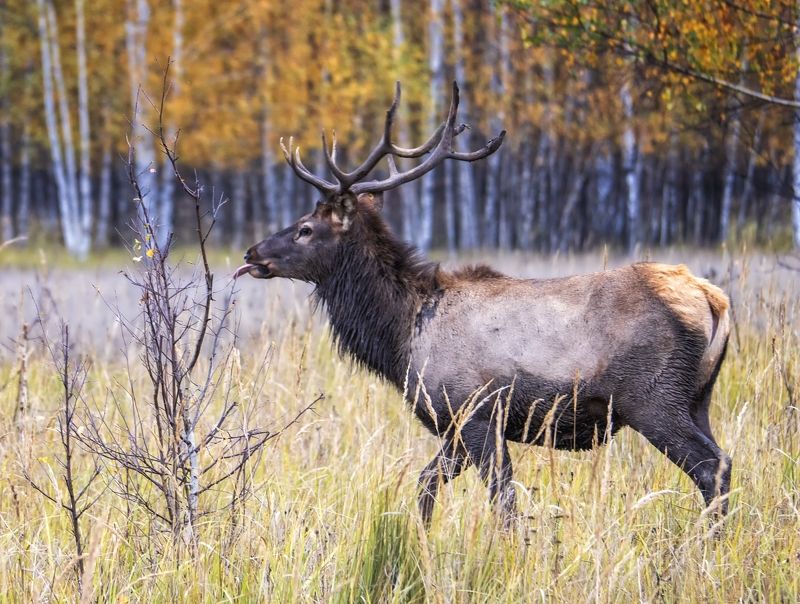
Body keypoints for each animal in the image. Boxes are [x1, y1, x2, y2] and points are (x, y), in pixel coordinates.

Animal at [236, 82, 732, 527]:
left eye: (305, 229)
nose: (252, 253)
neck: (403, 334)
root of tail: (715, 300)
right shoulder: (453, 425)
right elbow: (426, 485)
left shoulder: (475, 411)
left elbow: (503, 500)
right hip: (698, 397)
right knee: (722, 463)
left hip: (653, 397)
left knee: (711, 468)